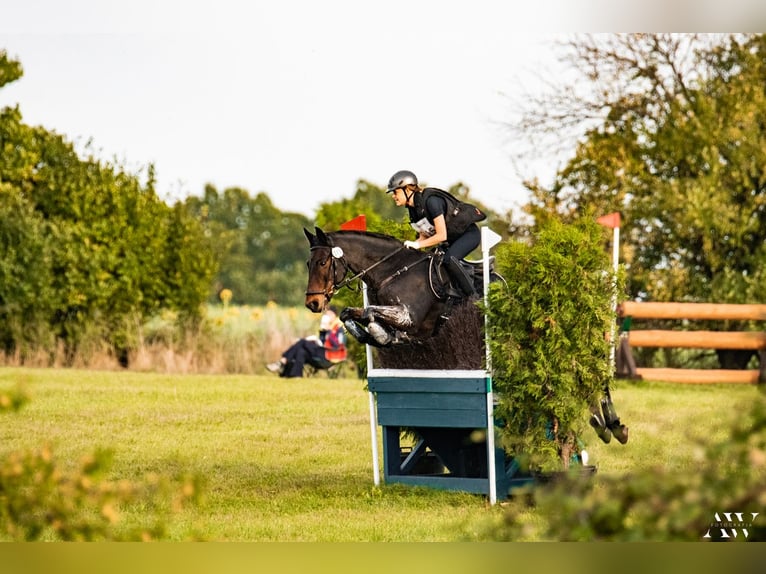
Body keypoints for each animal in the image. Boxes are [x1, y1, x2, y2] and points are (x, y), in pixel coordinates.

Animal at [304, 227, 496, 348]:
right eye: (308, 263)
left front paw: (384, 335)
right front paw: (373, 335)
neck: (393, 270)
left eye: (322, 263)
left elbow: (369, 311)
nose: (312, 303)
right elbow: (348, 313)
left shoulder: (409, 317)